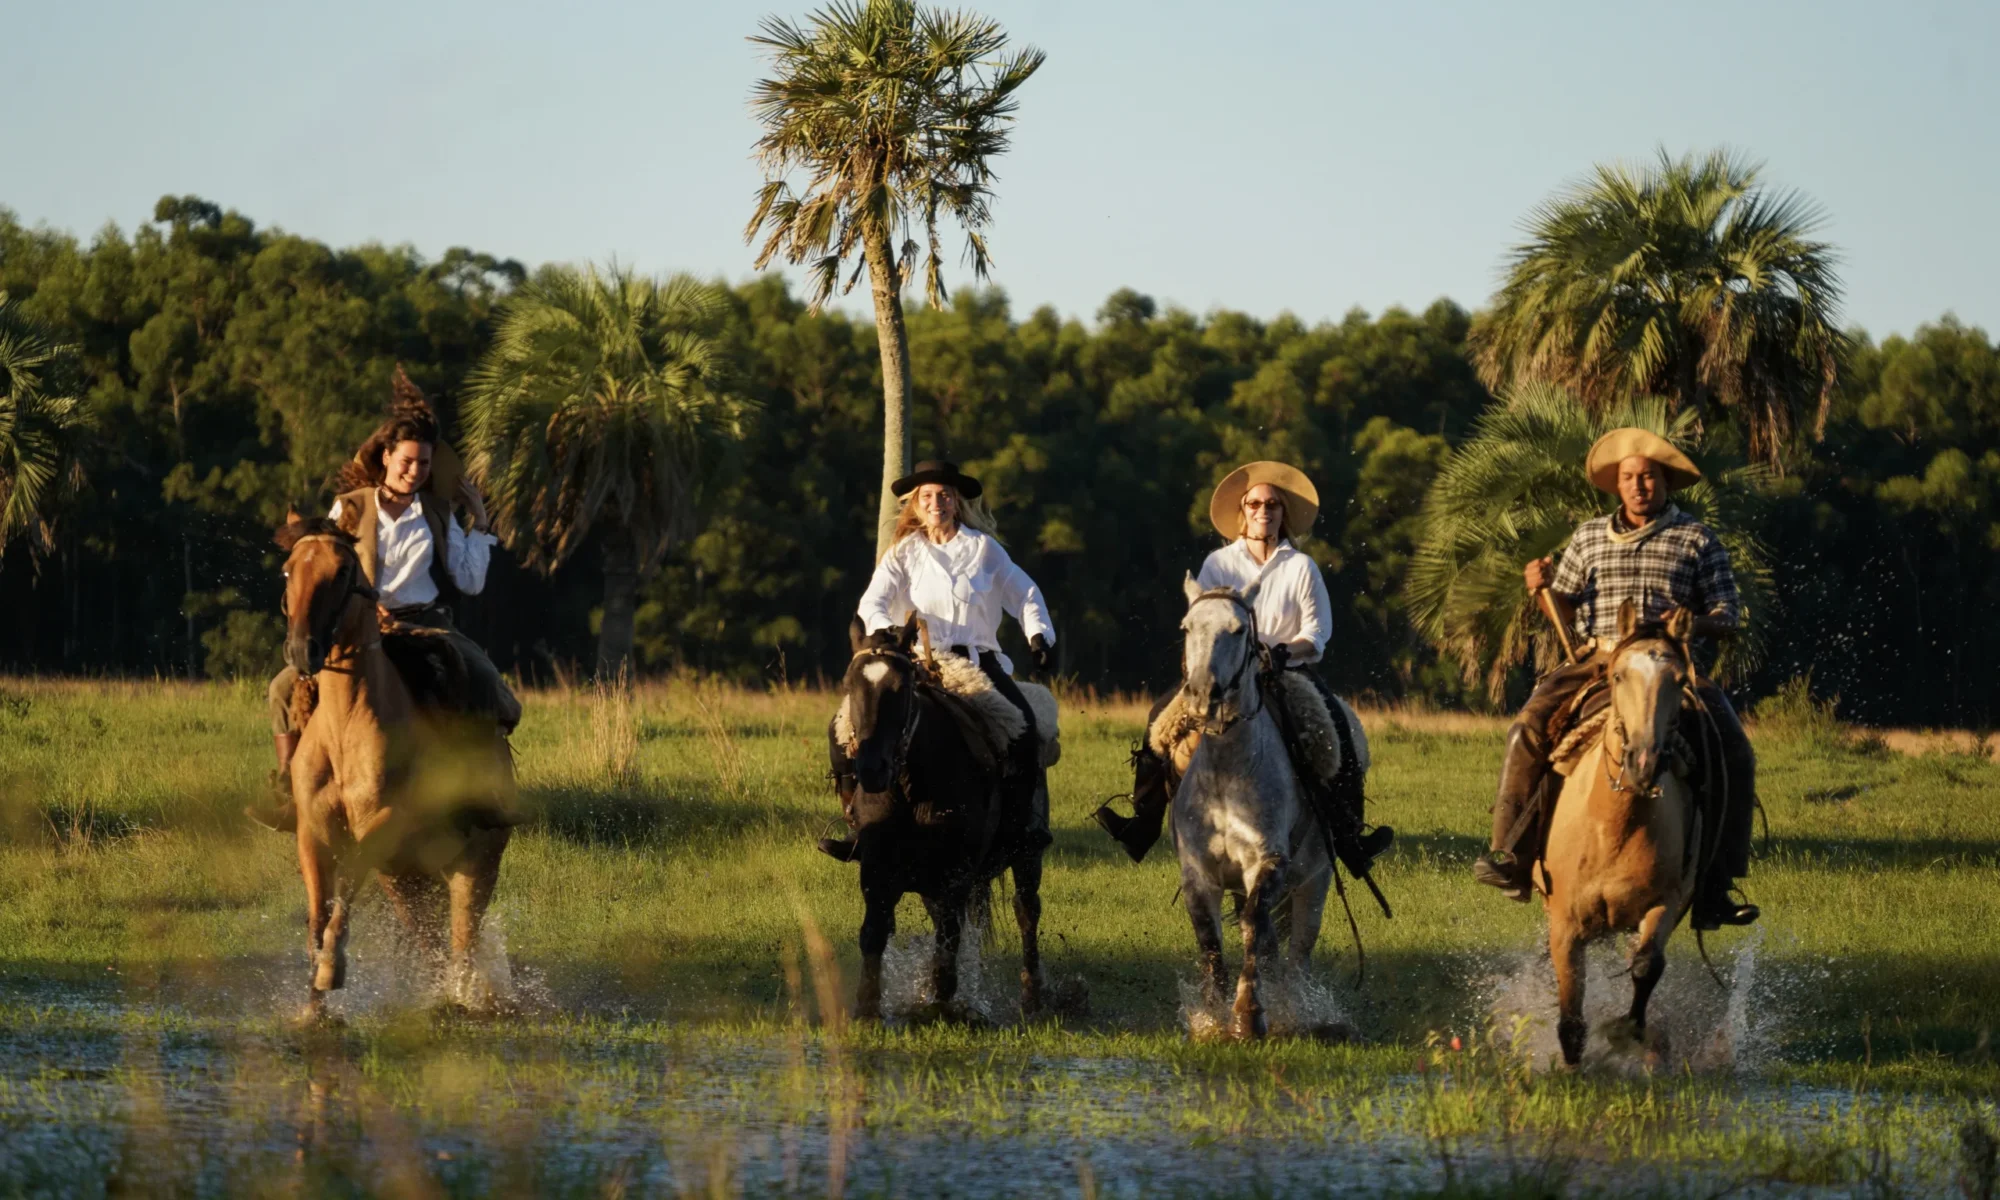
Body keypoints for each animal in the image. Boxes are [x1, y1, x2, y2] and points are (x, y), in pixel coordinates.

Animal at [275, 514, 514, 1017]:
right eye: (289, 569)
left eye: (343, 572)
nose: (303, 650)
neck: (346, 730)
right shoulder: (312, 831)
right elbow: (318, 912)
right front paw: (313, 1007)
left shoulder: (384, 824)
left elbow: (344, 890)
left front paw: (332, 970)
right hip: (407, 879)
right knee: (431, 941)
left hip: (475, 865)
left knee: (461, 941)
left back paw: (461, 999)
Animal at [835, 617, 1046, 1022]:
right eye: (850, 686)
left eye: (901, 689)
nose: (871, 770)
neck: (911, 787)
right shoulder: (877, 868)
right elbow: (874, 932)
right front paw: (867, 1009)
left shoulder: (956, 874)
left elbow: (948, 942)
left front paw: (941, 1006)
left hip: (1028, 855)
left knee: (1027, 912)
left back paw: (1032, 998)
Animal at [1173, 573, 1359, 1040]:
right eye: (1187, 627)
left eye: (1239, 630)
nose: (1202, 694)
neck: (1228, 771)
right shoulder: (1198, 871)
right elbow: (1210, 938)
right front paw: (1212, 1018)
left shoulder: (1267, 861)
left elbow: (1253, 926)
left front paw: (1248, 1015)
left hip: (1314, 881)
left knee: (1298, 953)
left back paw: (1294, 1009)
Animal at [1538, 599, 1701, 1067]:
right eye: (1618, 676)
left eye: (1680, 681)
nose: (1644, 762)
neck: (1612, 829)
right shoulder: (1565, 923)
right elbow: (1571, 1017)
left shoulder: (1664, 905)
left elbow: (1646, 966)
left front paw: (1626, 1031)